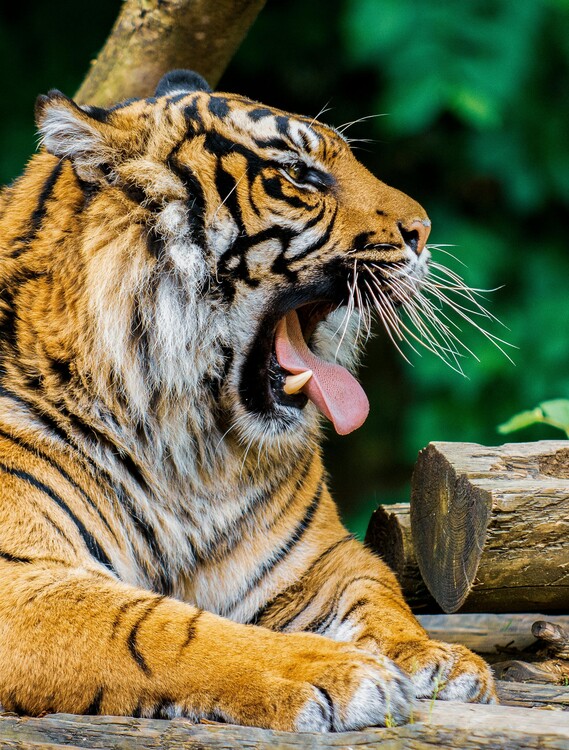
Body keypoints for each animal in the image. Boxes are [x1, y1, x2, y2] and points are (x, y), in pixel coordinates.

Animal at [0, 69, 495, 732]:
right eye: (300, 174)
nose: (424, 232)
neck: (186, 445)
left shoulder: (317, 560)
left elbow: (377, 591)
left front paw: (438, 660)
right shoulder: (22, 578)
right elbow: (161, 630)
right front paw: (333, 670)